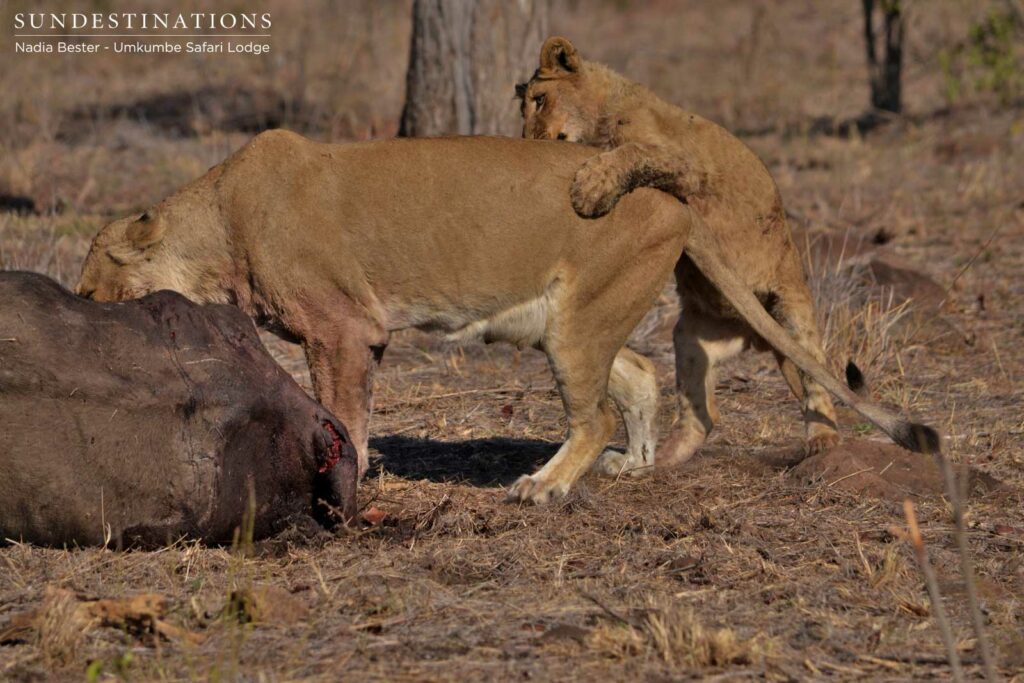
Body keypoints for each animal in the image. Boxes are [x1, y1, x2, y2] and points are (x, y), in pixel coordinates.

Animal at [77, 131, 938, 507]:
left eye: (93, 282)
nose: (79, 309)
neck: (216, 229)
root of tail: (674, 201)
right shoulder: (359, 337)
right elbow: (357, 409)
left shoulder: (344, 329)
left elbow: (342, 410)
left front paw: (346, 478)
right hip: (580, 318)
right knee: (639, 373)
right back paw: (633, 465)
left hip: (575, 323)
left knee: (594, 412)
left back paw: (544, 485)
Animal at [517, 36, 864, 465]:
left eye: (541, 100)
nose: (528, 142)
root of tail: (753, 336)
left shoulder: (686, 163)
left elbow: (631, 153)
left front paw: (589, 188)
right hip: (688, 337)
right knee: (704, 413)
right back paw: (663, 456)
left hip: (791, 309)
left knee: (816, 381)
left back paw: (822, 439)